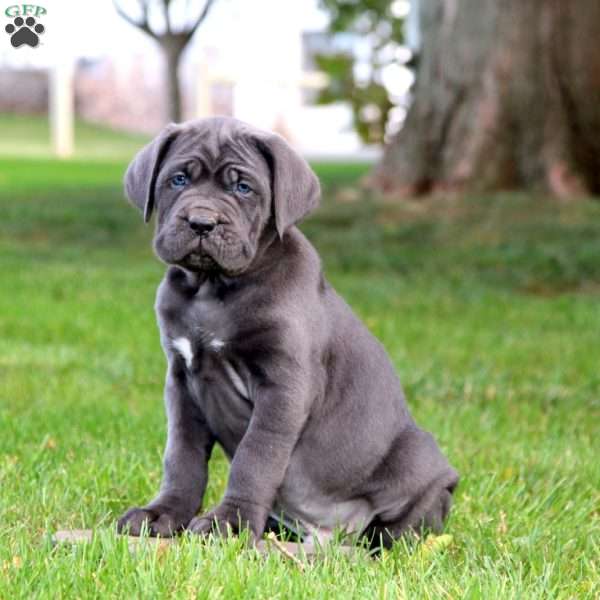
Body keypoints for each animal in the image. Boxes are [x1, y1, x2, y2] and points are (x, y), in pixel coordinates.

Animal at [115, 117, 458, 548]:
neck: (213, 288)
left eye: (243, 188)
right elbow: (182, 456)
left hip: (418, 458)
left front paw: (230, 523)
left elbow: (256, 456)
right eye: (178, 179)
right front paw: (162, 514)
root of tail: (330, 530)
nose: (201, 222)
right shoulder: (182, 383)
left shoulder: (283, 386)